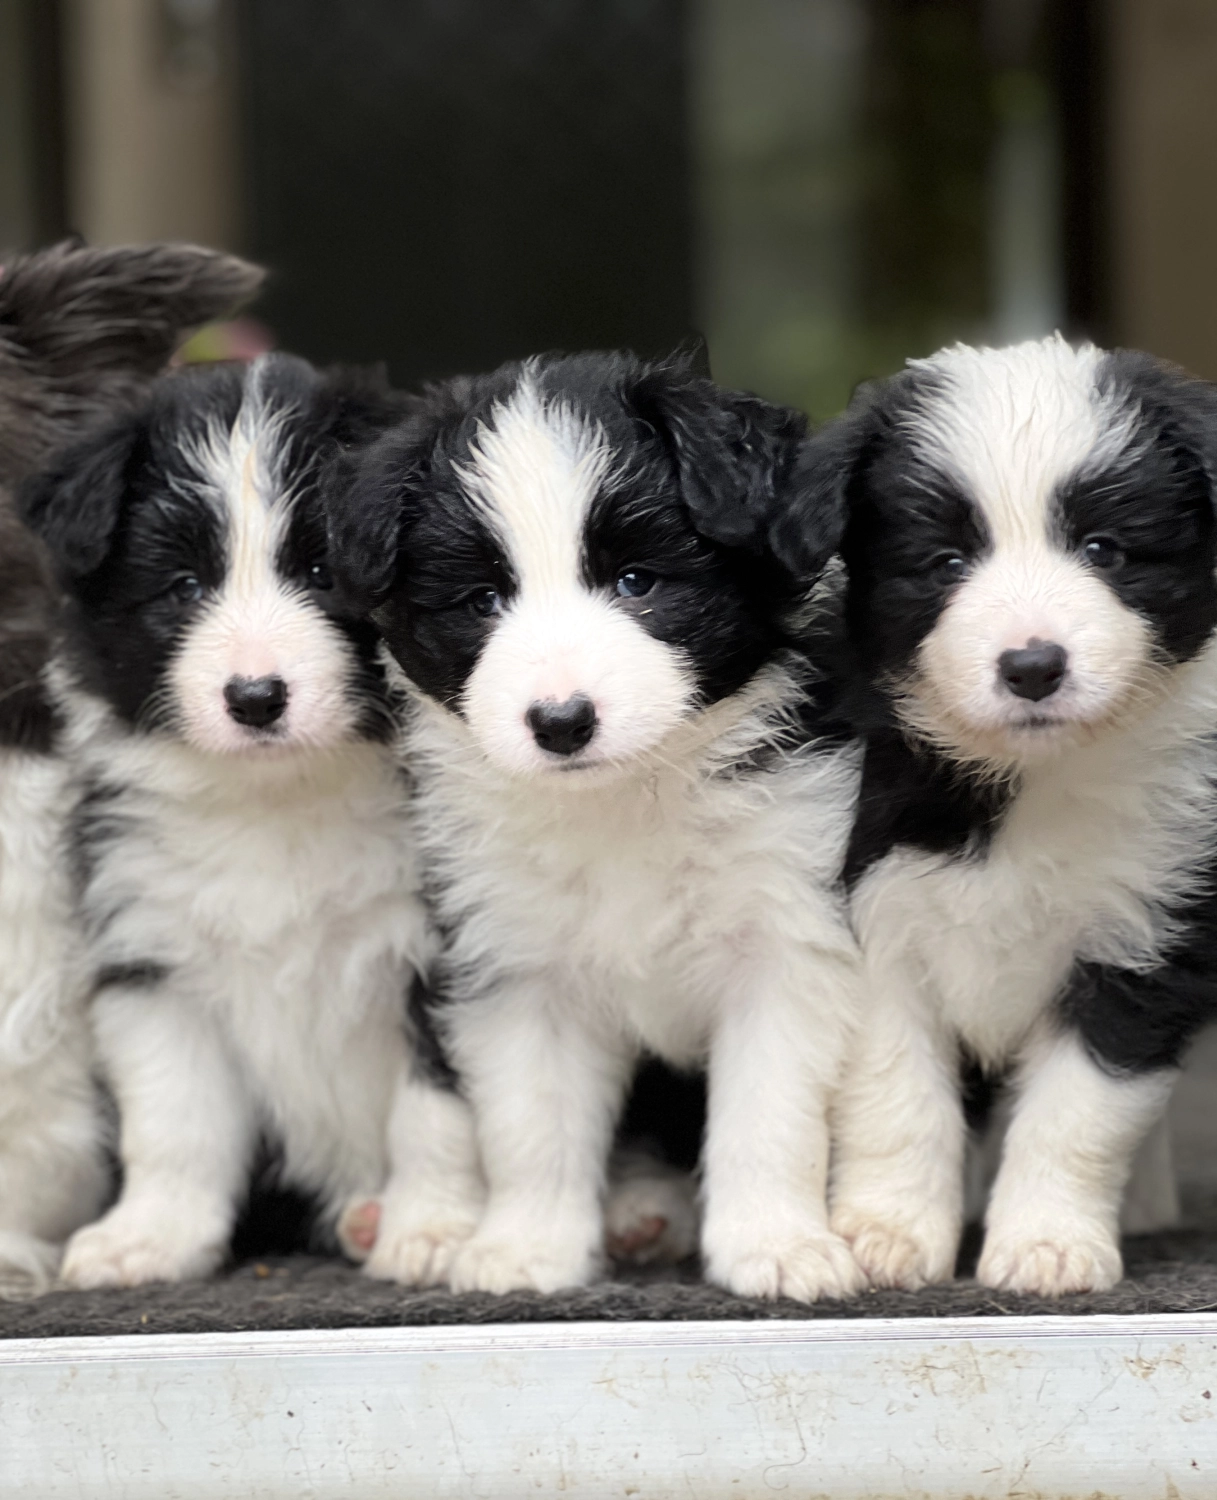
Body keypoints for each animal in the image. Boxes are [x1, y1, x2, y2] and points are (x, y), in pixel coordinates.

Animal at [23, 354, 480, 1290]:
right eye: (184, 586)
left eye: (320, 573)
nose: (257, 697)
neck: (280, 802)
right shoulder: (152, 955)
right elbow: (174, 1117)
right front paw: (149, 1236)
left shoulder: (442, 949)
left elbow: (435, 1106)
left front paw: (433, 1228)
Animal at [330, 351, 864, 1302]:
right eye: (482, 599)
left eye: (636, 581)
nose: (560, 721)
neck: (628, 797)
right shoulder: (513, 958)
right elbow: (531, 1120)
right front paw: (525, 1249)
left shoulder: (787, 937)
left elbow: (768, 1113)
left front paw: (776, 1246)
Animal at [792, 334, 1217, 1296]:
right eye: (946, 562)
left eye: (1103, 548)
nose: (1031, 667)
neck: (1030, 775)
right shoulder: (872, 923)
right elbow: (896, 1097)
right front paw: (887, 1233)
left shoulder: (1143, 941)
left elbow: (1077, 1111)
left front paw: (1048, 1244)